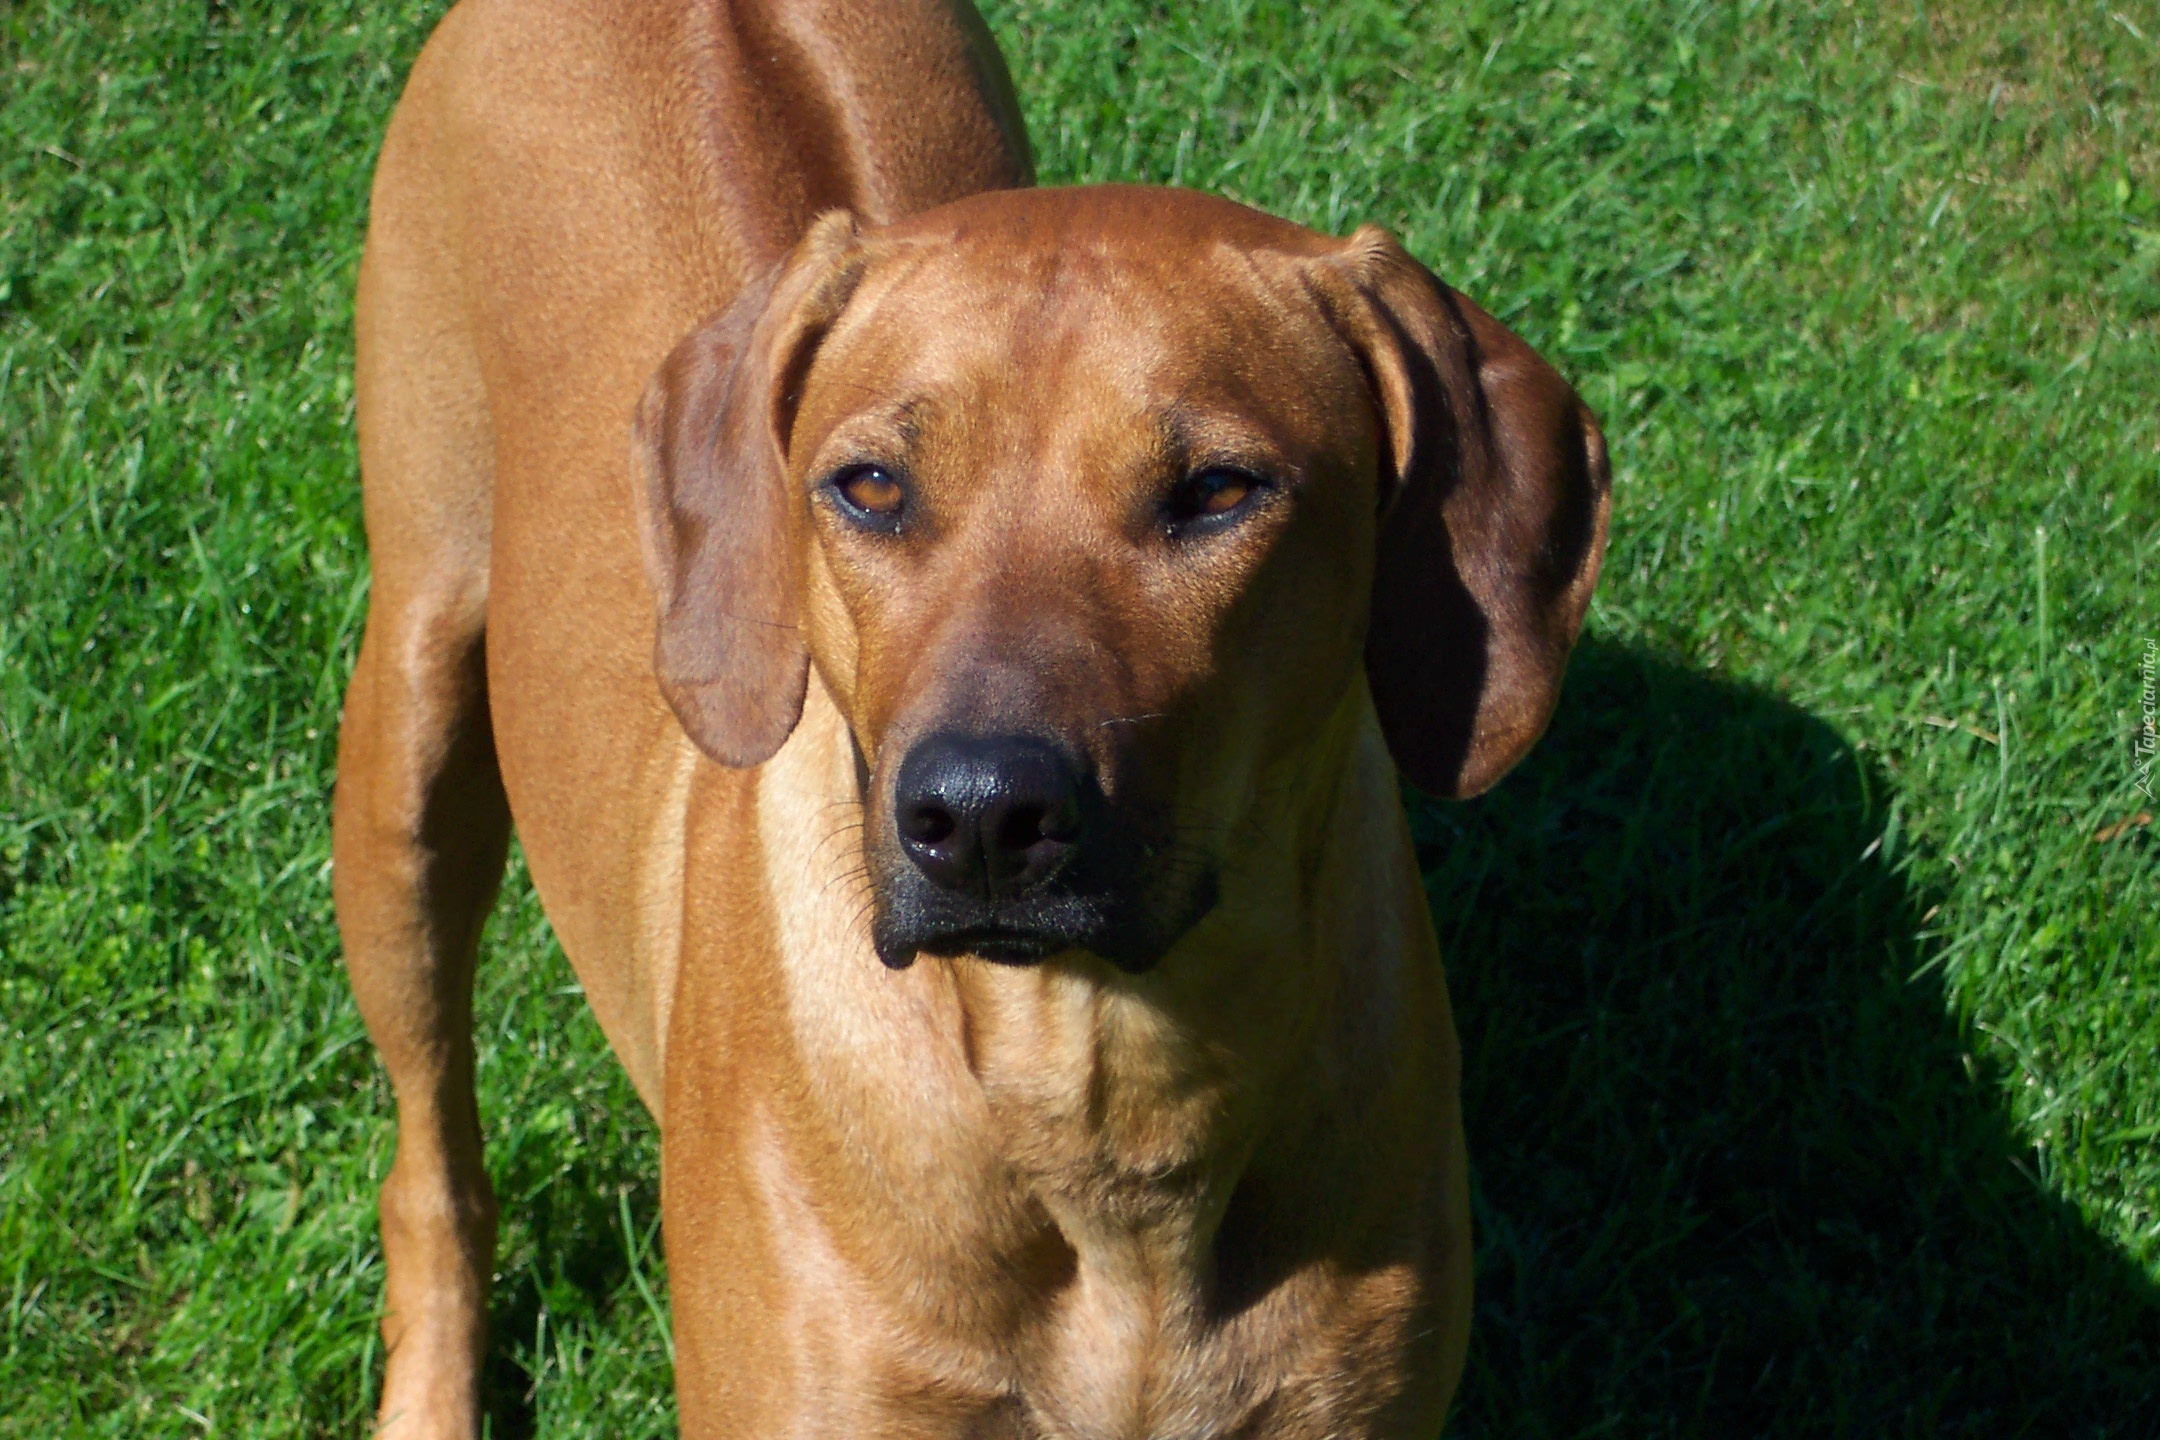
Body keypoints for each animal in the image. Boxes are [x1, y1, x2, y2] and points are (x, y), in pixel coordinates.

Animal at [336, 2, 1615, 1440]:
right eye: (871, 486)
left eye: (1219, 491)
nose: (983, 816)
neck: (1105, 1101)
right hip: (410, 727)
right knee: (431, 1158)